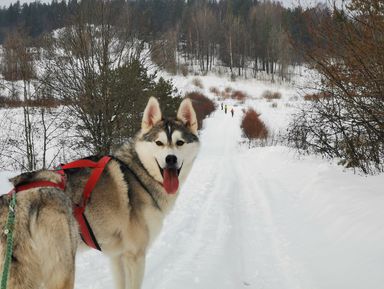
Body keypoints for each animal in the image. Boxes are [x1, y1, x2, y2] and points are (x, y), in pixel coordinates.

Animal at [0, 97, 198, 288]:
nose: (170, 159)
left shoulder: (117, 256)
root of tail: (20, 204)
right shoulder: (135, 255)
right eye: (159, 143)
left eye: (180, 143)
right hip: (64, 271)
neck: (140, 171)